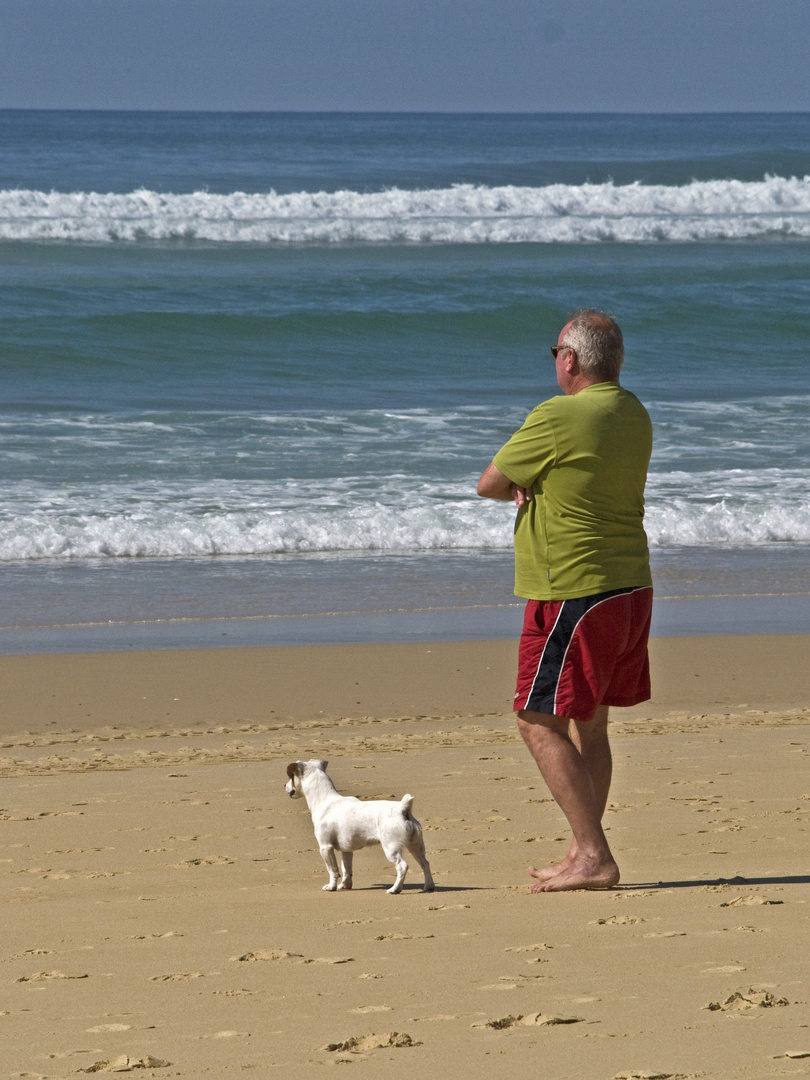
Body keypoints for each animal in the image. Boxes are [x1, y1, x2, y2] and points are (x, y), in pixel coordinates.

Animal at [287, 756, 434, 898]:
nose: (284, 785)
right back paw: (428, 887)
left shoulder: (325, 847)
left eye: (291, 777)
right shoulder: (346, 850)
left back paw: (395, 889)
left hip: (391, 849)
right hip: (415, 846)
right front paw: (344, 886)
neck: (325, 801)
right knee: (425, 864)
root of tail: (403, 808)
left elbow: (333, 870)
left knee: (402, 866)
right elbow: (346, 870)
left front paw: (331, 887)